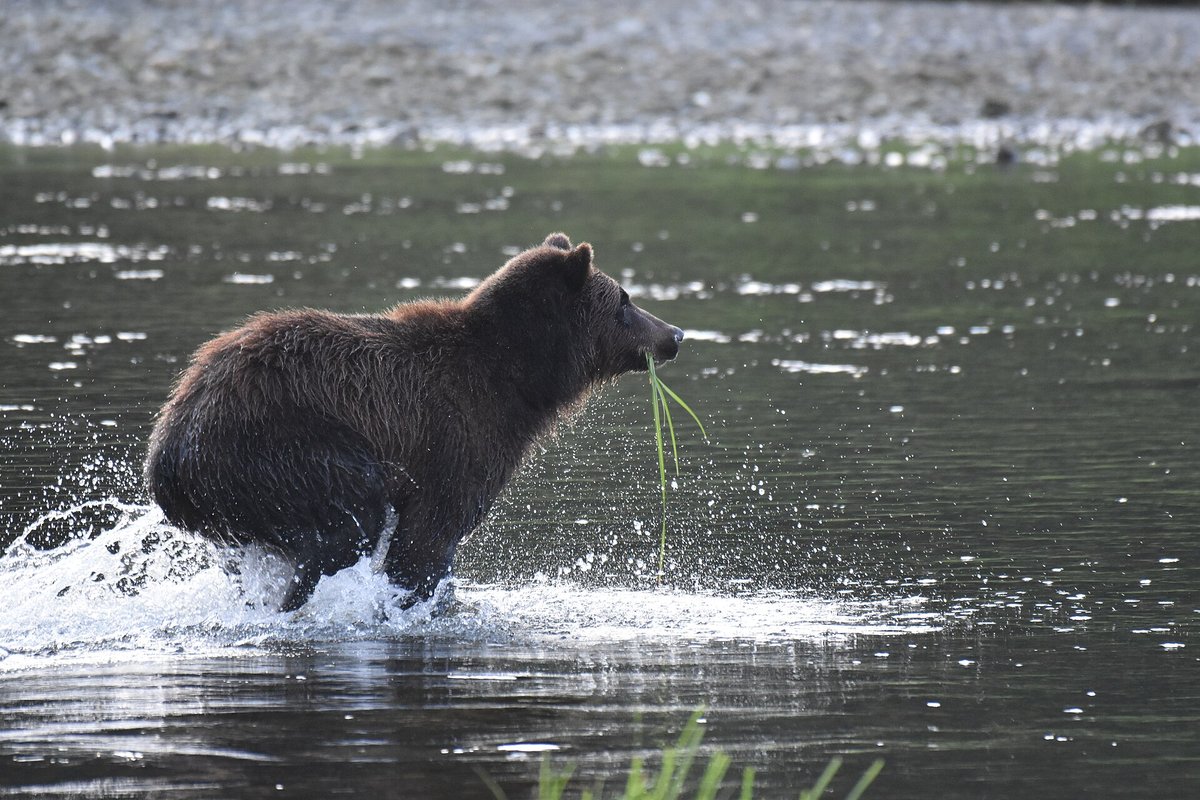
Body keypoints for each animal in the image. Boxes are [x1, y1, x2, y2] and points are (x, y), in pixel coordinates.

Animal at [144, 233, 685, 611]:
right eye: (624, 301)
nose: (675, 334)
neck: (520, 379)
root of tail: (166, 447)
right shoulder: (456, 435)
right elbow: (428, 537)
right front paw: (417, 600)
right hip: (276, 447)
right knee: (349, 522)